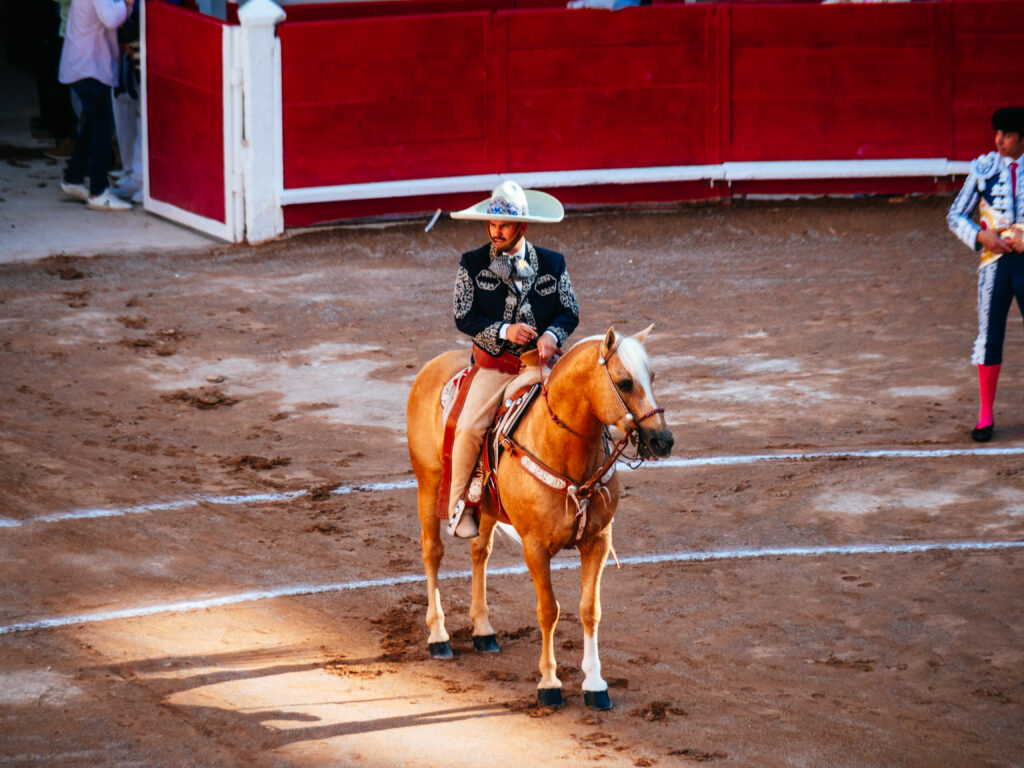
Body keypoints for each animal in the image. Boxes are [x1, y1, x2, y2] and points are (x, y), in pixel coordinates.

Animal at [403, 325, 675, 708]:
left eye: (652, 377)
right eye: (624, 383)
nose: (663, 440)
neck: (564, 450)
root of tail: (434, 364)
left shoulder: (598, 541)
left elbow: (590, 609)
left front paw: (595, 684)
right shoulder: (535, 548)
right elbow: (549, 610)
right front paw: (549, 683)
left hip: (486, 508)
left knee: (479, 553)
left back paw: (483, 631)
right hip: (427, 485)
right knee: (432, 552)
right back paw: (438, 636)